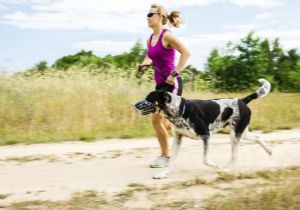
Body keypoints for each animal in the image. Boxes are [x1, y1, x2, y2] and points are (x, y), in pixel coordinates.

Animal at [139, 79, 274, 179]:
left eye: (149, 98)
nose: (135, 104)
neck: (181, 109)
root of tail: (242, 100)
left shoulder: (206, 136)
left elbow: (205, 160)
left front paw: (217, 166)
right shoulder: (178, 139)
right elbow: (171, 160)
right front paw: (163, 174)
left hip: (234, 135)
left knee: (235, 156)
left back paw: (225, 168)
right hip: (242, 132)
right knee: (258, 137)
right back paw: (269, 151)